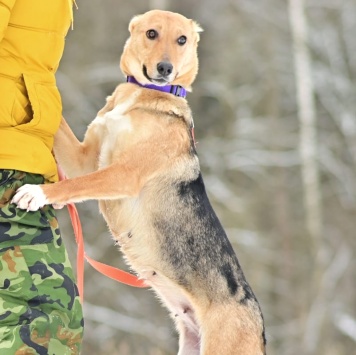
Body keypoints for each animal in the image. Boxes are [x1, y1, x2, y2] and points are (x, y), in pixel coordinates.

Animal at [12, 9, 266, 355]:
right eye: (151, 33)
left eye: (182, 39)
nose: (165, 68)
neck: (146, 95)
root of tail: (260, 327)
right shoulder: (82, 160)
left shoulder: (121, 174)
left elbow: (73, 186)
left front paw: (38, 192)